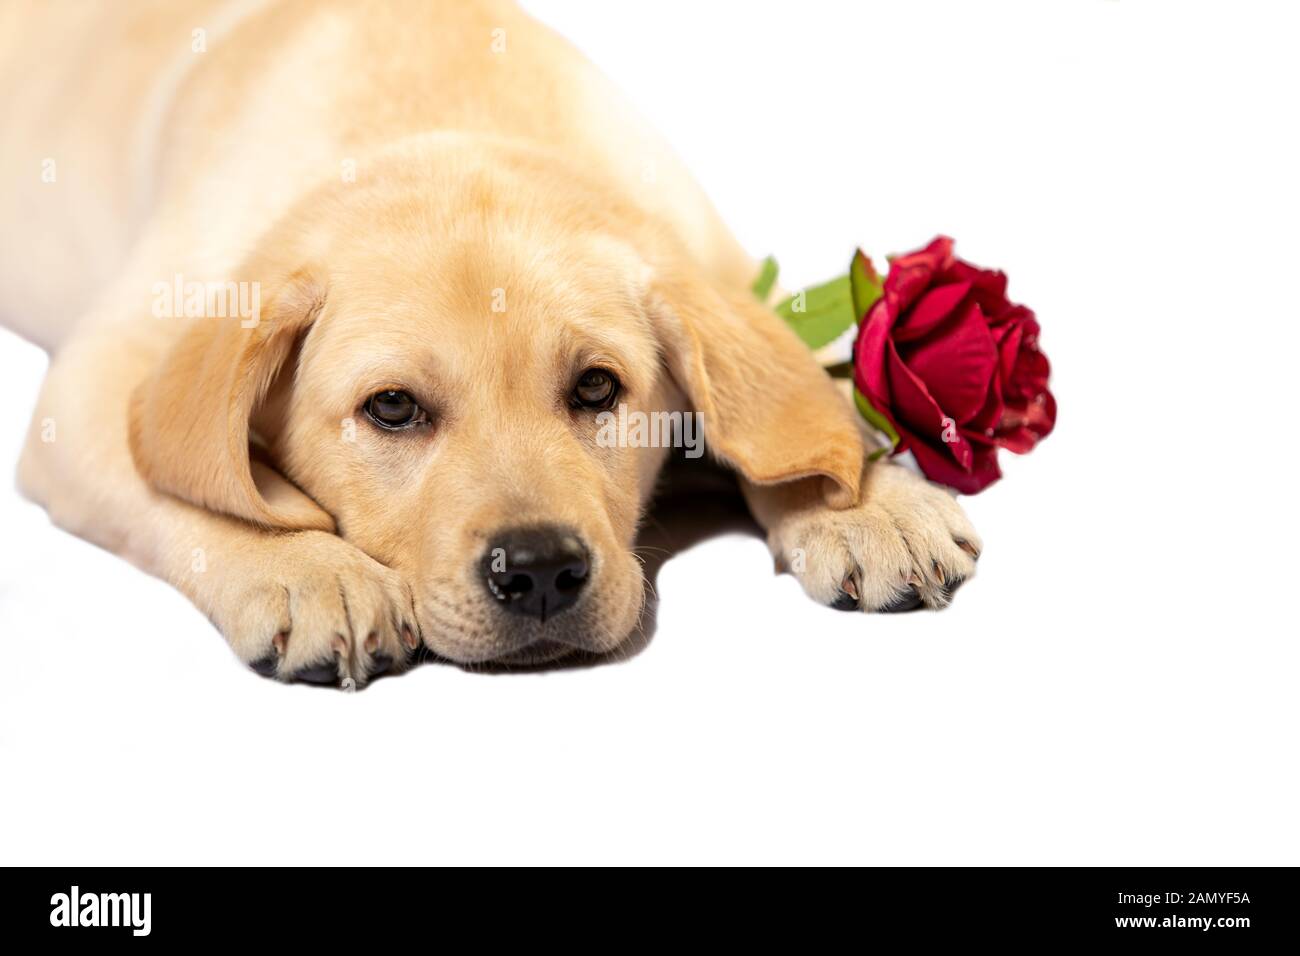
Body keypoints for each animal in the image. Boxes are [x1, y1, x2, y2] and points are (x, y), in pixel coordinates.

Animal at [0, 1, 977, 686]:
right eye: (393, 408)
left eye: (597, 389)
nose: (540, 571)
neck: (440, 115)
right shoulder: (98, 375)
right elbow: (196, 482)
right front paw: (309, 570)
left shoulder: (723, 269)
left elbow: (800, 404)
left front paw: (870, 502)